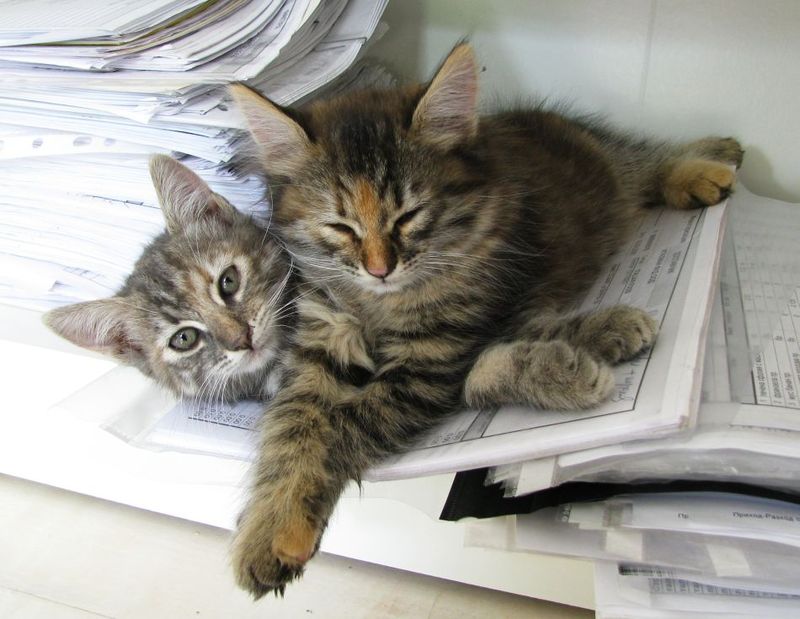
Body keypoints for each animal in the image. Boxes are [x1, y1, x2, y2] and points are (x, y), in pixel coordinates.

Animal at [228, 43, 743, 597]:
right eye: (340, 226)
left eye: (408, 216)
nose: (379, 268)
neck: (377, 305)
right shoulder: (318, 353)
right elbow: (291, 434)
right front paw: (271, 531)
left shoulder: (433, 359)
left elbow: (349, 423)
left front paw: (586, 350)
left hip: (608, 165)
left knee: (643, 157)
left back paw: (707, 162)